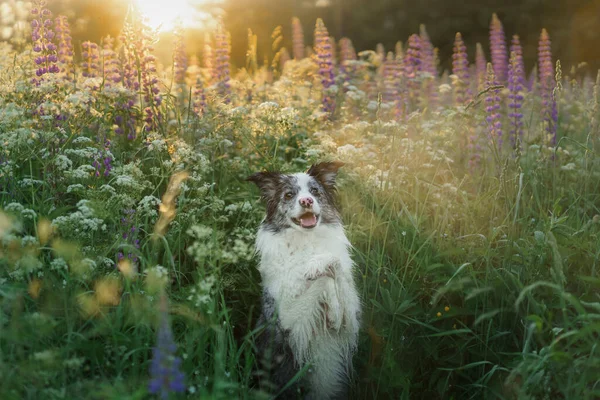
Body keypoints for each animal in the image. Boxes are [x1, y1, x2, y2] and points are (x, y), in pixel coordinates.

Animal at [247, 161, 360, 398]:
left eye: (315, 191)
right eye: (289, 194)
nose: (306, 201)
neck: (306, 242)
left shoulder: (350, 325)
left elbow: (334, 265)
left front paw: (335, 312)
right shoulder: (287, 322)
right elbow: (323, 279)